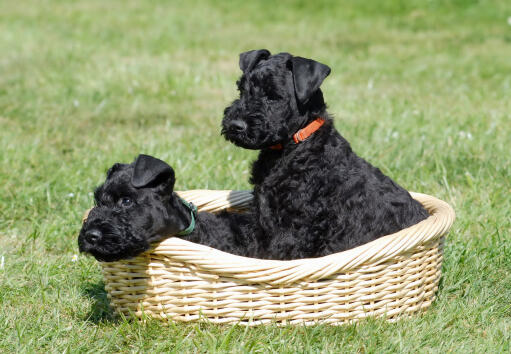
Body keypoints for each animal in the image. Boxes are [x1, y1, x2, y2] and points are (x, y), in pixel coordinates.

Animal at [222, 49, 430, 260]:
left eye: (273, 96)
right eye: (242, 90)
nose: (235, 125)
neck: (295, 146)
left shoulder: (292, 228)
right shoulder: (260, 217)